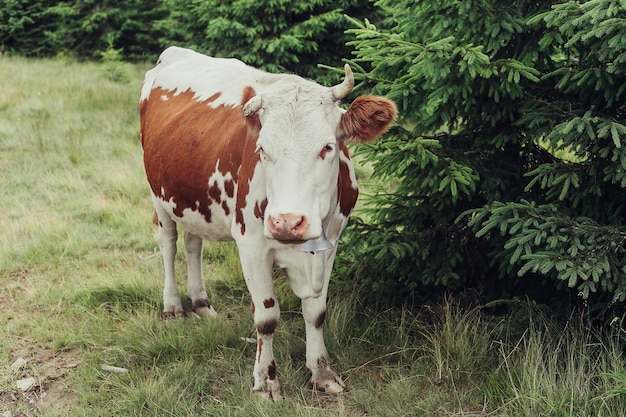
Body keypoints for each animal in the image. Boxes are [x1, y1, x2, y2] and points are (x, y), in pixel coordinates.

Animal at [141, 46, 394, 400]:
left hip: (194, 201)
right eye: (261, 149)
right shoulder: (252, 246)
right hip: (158, 195)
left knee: (193, 243)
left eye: (328, 147)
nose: (287, 222)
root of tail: (175, 52)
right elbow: (267, 318)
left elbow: (316, 313)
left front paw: (322, 372)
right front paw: (265, 382)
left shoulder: (331, 244)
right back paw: (173, 306)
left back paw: (201, 303)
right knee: (168, 244)